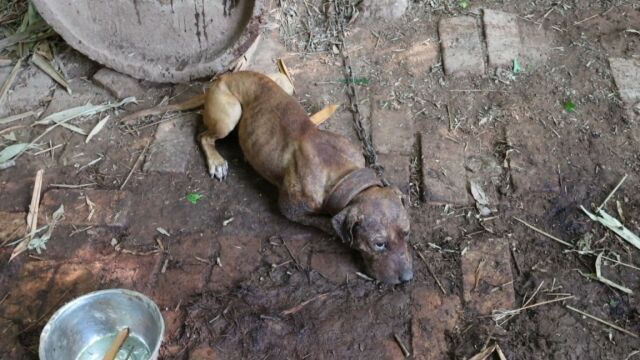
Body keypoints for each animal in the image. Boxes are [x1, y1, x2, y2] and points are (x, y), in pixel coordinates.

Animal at [127, 71, 412, 284]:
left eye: (407, 234)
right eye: (378, 244)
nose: (407, 278)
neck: (343, 174)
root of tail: (221, 78)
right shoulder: (292, 209)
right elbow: (326, 223)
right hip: (229, 115)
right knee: (204, 135)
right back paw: (217, 161)